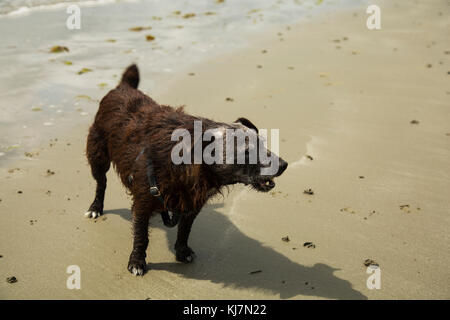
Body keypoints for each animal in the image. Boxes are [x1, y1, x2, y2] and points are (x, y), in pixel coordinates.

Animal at [84, 64, 288, 276]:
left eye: (263, 143)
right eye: (247, 152)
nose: (283, 165)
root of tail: (123, 87)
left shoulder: (191, 204)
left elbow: (184, 230)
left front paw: (182, 251)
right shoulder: (144, 198)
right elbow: (141, 235)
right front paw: (137, 261)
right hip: (98, 157)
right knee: (101, 184)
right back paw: (96, 208)